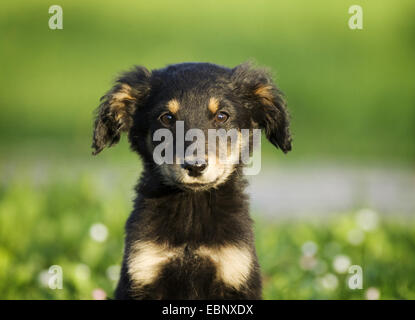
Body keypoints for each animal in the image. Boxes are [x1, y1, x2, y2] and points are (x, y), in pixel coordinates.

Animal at [92, 62, 292, 300]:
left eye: (222, 116)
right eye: (167, 118)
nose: (195, 166)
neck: (192, 210)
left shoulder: (235, 271)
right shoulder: (144, 269)